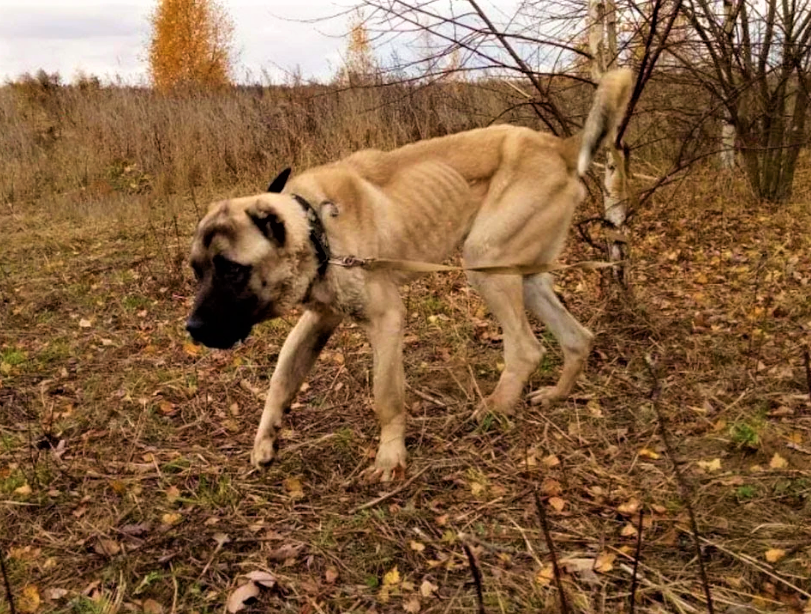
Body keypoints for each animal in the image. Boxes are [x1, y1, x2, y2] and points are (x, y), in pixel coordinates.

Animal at [189, 70, 636, 484]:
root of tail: (558, 146)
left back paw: (494, 408)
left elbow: (386, 395)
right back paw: (556, 394)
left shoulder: (386, 319)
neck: (318, 227)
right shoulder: (319, 319)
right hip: (521, 276)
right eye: (197, 270)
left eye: (232, 268)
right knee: (578, 338)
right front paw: (265, 439)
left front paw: (390, 456)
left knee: (526, 349)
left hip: (486, 261)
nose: (192, 329)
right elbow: (282, 378)